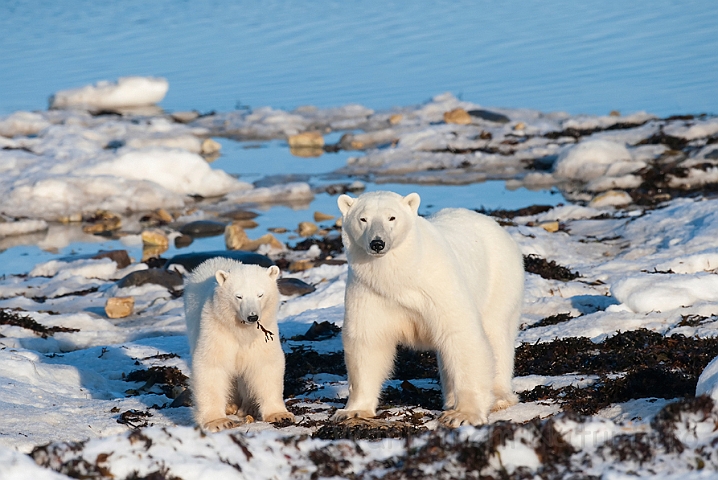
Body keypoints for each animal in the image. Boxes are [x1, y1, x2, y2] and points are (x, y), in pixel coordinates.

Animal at [334, 189, 524, 426]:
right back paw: (451, 399)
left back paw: (498, 397)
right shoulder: (369, 291)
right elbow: (367, 341)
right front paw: (353, 410)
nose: (377, 243)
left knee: (496, 334)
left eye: (392, 217)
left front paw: (463, 415)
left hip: (499, 280)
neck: (400, 275)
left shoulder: (438, 284)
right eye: (363, 219)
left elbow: (460, 334)